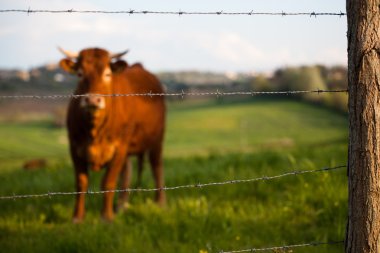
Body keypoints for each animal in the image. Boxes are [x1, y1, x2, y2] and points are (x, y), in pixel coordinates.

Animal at [58, 47, 166, 221]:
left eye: (107, 74)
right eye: (80, 74)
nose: (93, 100)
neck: (95, 132)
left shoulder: (119, 147)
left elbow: (109, 182)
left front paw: (106, 216)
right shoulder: (74, 147)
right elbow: (81, 183)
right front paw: (77, 217)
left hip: (156, 139)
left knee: (157, 167)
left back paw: (161, 203)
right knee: (127, 172)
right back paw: (121, 206)